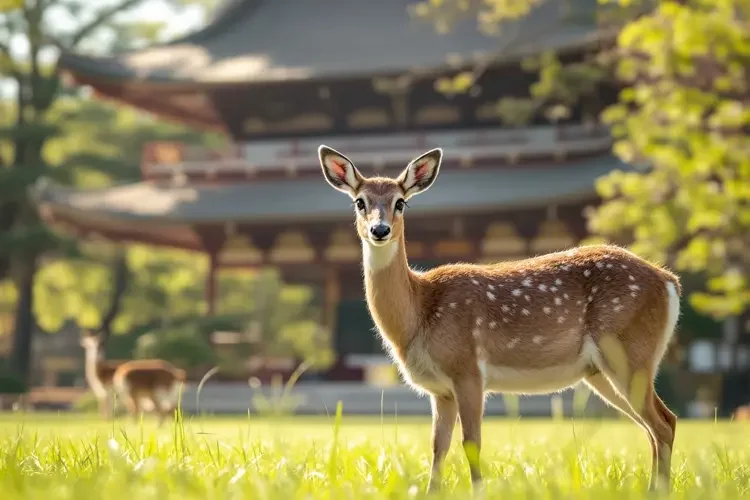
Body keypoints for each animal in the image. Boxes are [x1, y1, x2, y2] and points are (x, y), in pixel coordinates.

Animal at [317, 145, 681, 493]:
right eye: (360, 202)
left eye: (401, 202)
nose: (380, 230)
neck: (420, 313)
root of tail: (669, 281)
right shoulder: (440, 391)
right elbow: (438, 447)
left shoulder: (467, 369)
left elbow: (471, 443)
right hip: (601, 371)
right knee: (654, 426)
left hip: (629, 351)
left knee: (663, 423)